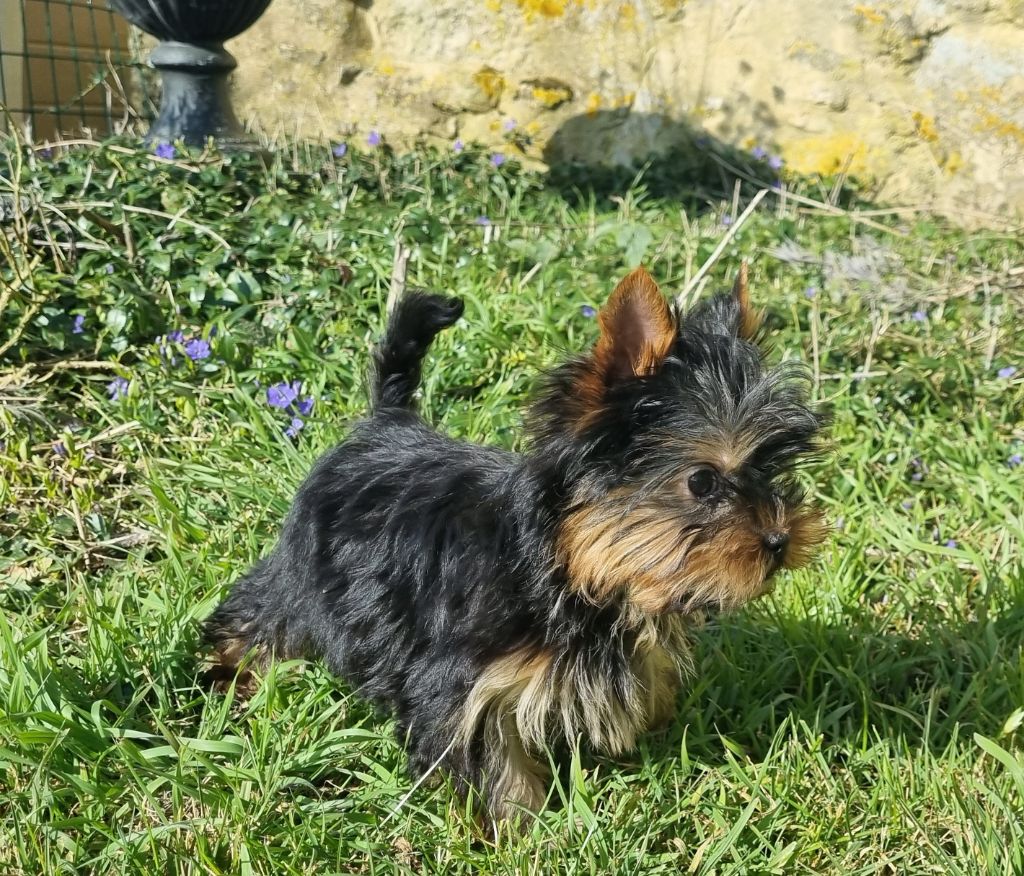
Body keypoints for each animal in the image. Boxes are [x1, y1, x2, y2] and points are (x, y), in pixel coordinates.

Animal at [203, 264, 827, 823]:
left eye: (771, 468)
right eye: (701, 481)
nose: (780, 540)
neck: (565, 567)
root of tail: (385, 425)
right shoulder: (461, 688)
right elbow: (496, 766)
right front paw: (523, 831)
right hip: (310, 572)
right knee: (262, 614)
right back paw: (233, 675)